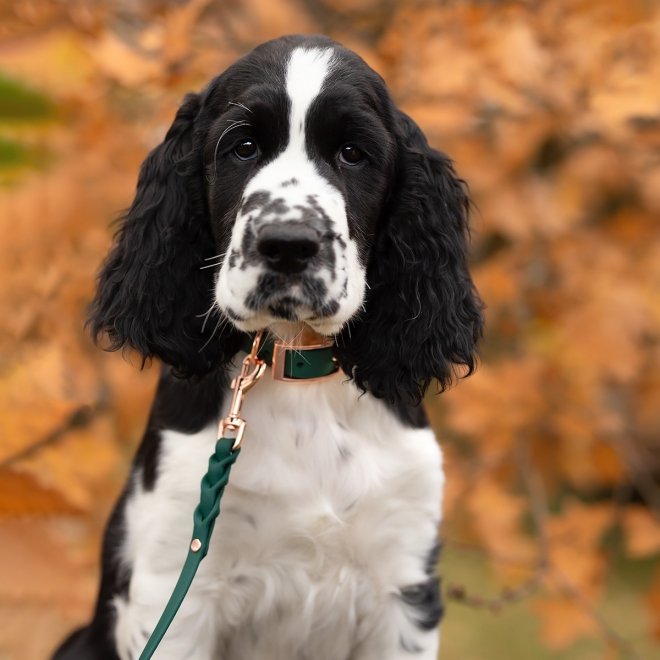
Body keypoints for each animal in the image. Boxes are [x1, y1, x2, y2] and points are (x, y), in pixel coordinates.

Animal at [54, 34, 482, 660]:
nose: (288, 245)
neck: (296, 369)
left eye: (352, 153)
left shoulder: (403, 586)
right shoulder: (175, 582)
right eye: (244, 146)